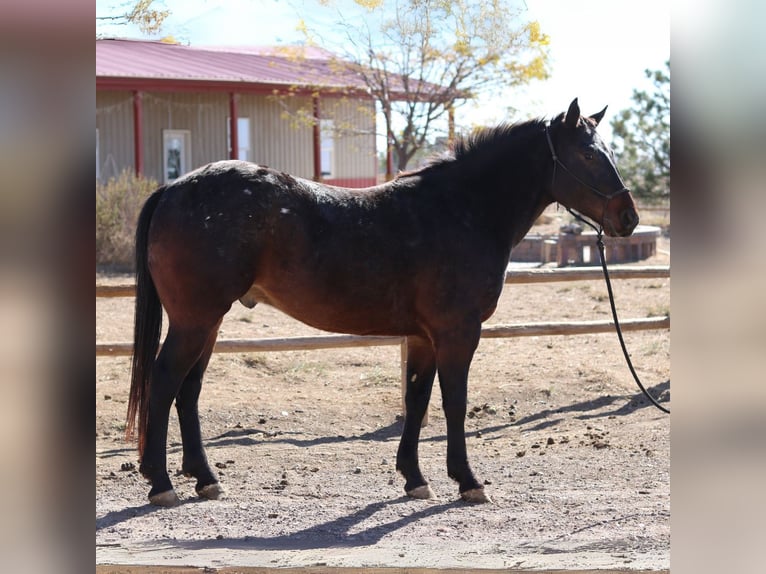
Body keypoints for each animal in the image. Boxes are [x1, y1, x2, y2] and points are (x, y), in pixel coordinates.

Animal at [127, 100, 640, 508]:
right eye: (588, 154)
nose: (628, 217)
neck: (460, 209)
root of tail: (172, 189)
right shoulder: (457, 333)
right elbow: (454, 403)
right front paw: (467, 481)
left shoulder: (422, 337)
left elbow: (416, 400)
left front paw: (414, 479)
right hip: (196, 320)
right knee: (166, 380)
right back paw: (161, 483)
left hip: (208, 323)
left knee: (188, 390)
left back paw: (205, 479)